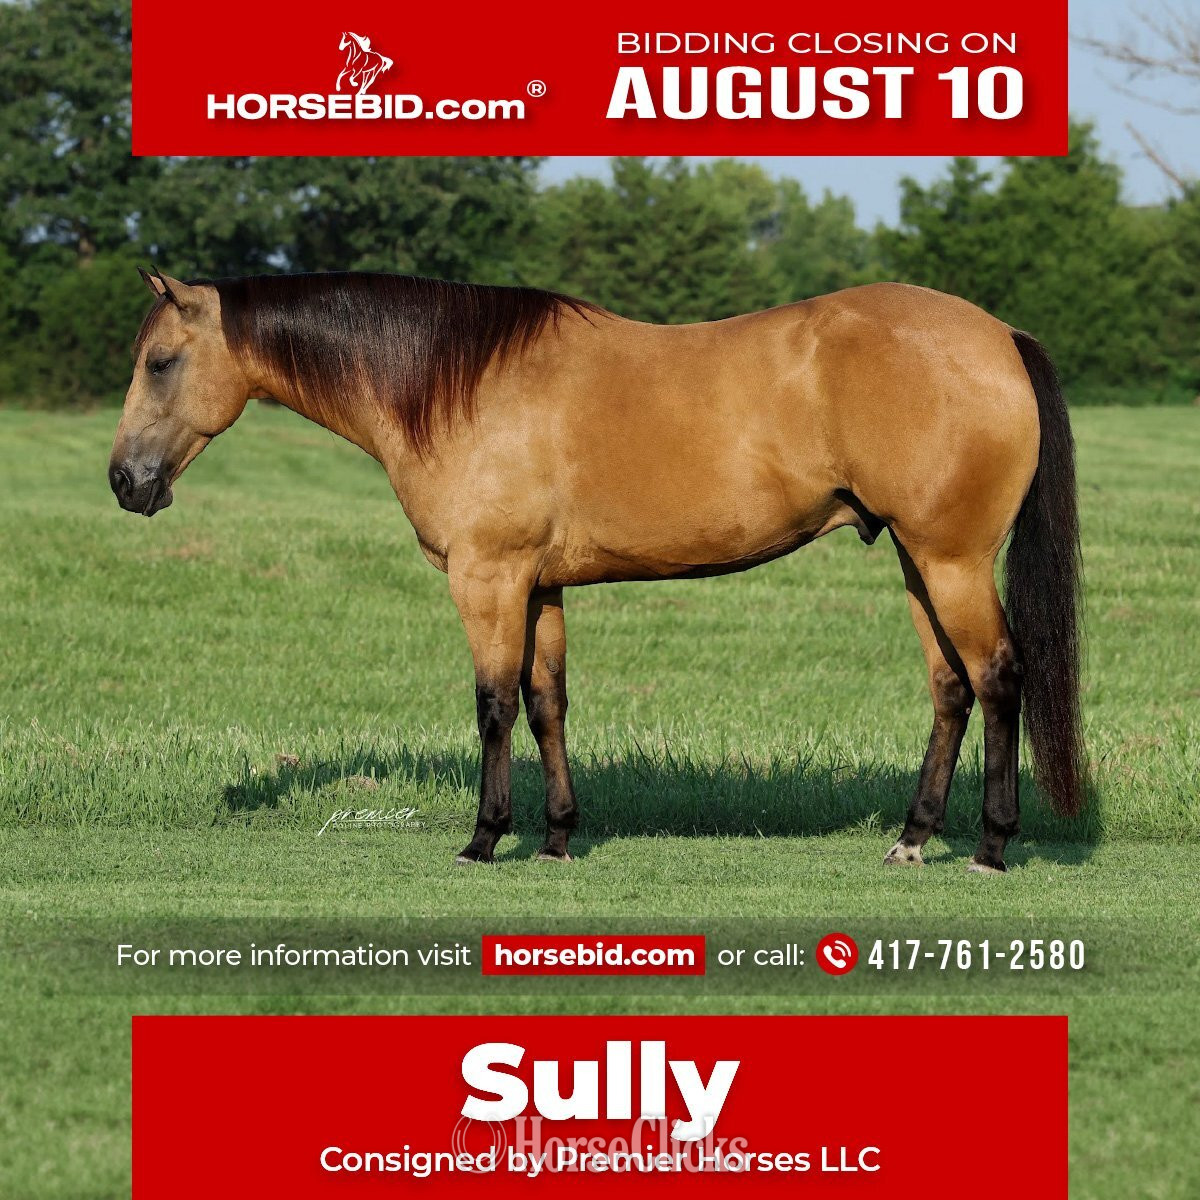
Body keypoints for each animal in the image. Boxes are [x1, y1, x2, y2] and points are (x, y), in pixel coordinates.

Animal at [110, 268, 1084, 873]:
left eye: (160, 362)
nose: (125, 481)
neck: (456, 385)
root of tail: (998, 335)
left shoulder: (488, 579)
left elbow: (493, 706)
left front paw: (484, 839)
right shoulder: (539, 586)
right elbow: (547, 704)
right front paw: (557, 838)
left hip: (952, 561)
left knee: (999, 678)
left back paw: (992, 848)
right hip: (920, 561)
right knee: (950, 690)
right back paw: (913, 840)